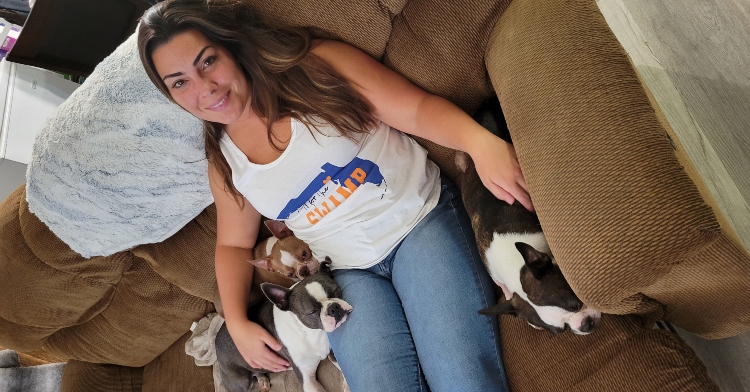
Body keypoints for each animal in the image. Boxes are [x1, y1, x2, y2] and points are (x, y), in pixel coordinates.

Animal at [213, 260, 352, 392]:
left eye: (336, 291)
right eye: (312, 312)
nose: (334, 308)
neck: (312, 334)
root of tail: (216, 340)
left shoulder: (333, 354)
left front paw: (347, 386)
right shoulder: (307, 381)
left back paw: (262, 379)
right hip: (241, 382)